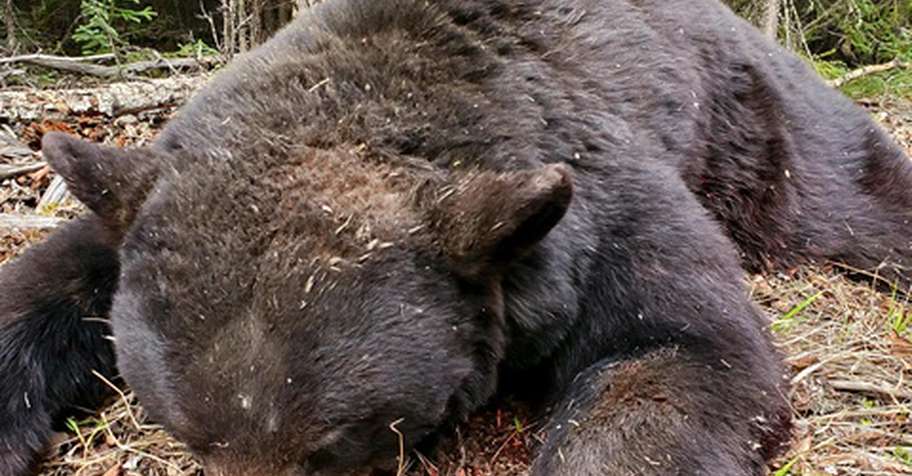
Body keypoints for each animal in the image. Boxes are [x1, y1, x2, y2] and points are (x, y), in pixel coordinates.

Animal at [1, 0, 910, 474]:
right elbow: (52, 276)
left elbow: (684, 350)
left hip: (761, 135)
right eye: (189, 438)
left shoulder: (597, 205)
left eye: (330, 449)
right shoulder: (150, 200)